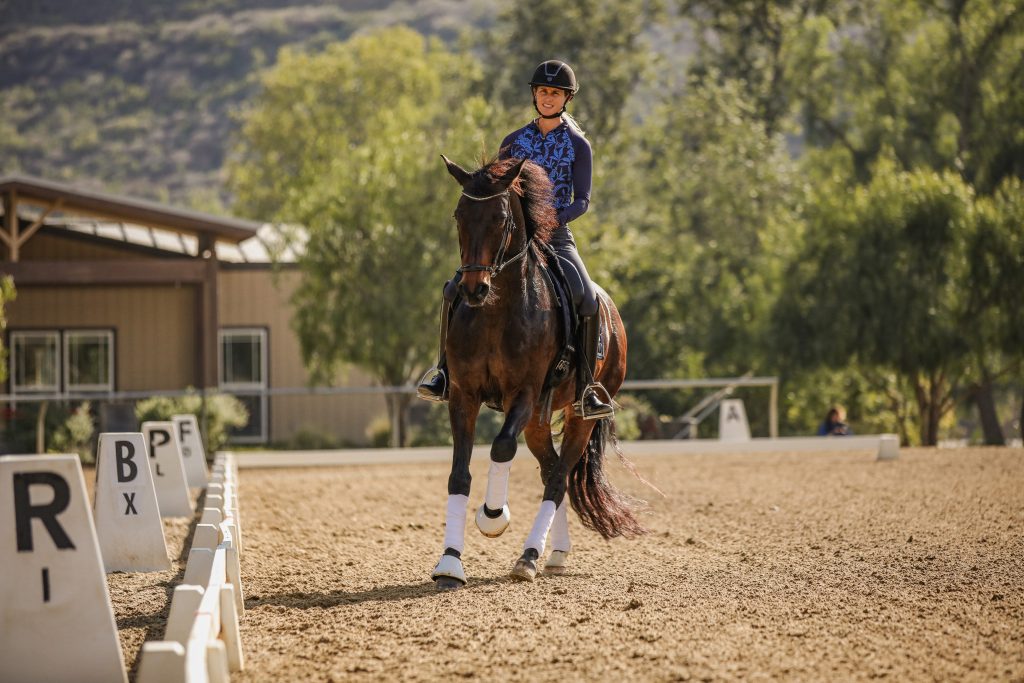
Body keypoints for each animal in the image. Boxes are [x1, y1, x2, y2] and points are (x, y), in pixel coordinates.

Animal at [430, 154, 647, 590]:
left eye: (500, 219)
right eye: (459, 215)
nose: (474, 289)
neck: (497, 310)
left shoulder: (524, 393)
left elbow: (501, 447)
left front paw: (493, 516)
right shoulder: (463, 394)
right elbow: (459, 474)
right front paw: (450, 564)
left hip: (580, 414)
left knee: (559, 477)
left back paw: (530, 556)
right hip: (537, 420)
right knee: (550, 471)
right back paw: (555, 553)